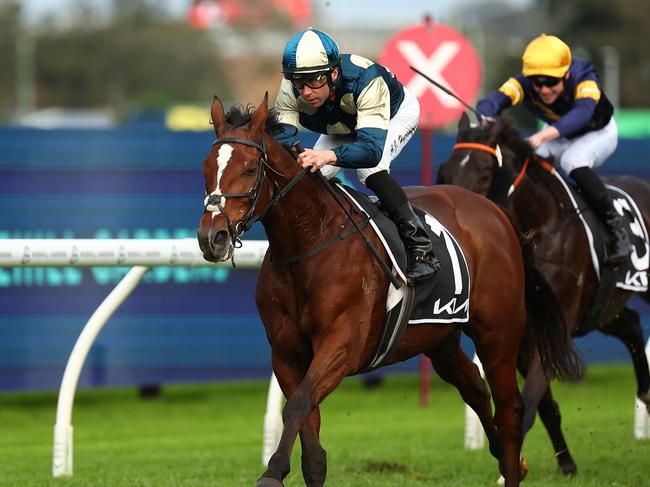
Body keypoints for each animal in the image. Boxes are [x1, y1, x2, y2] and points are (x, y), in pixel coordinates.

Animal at [196, 93, 576, 486]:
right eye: (206, 168)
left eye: (249, 169)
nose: (212, 238)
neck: (310, 240)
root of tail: (498, 214)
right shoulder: (286, 352)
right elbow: (309, 428)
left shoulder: (342, 344)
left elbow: (299, 405)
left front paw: (272, 472)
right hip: (440, 340)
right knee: (475, 388)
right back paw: (511, 461)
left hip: (497, 335)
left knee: (510, 409)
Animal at [436, 112, 648, 474]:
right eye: (446, 171)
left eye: (485, 171)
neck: (541, 228)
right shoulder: (524, 335)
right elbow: (545, 406)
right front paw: (566, 464)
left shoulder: (548, 332)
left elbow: (532, 398)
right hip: (603, 310)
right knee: (632, 325)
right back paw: (646, 392)